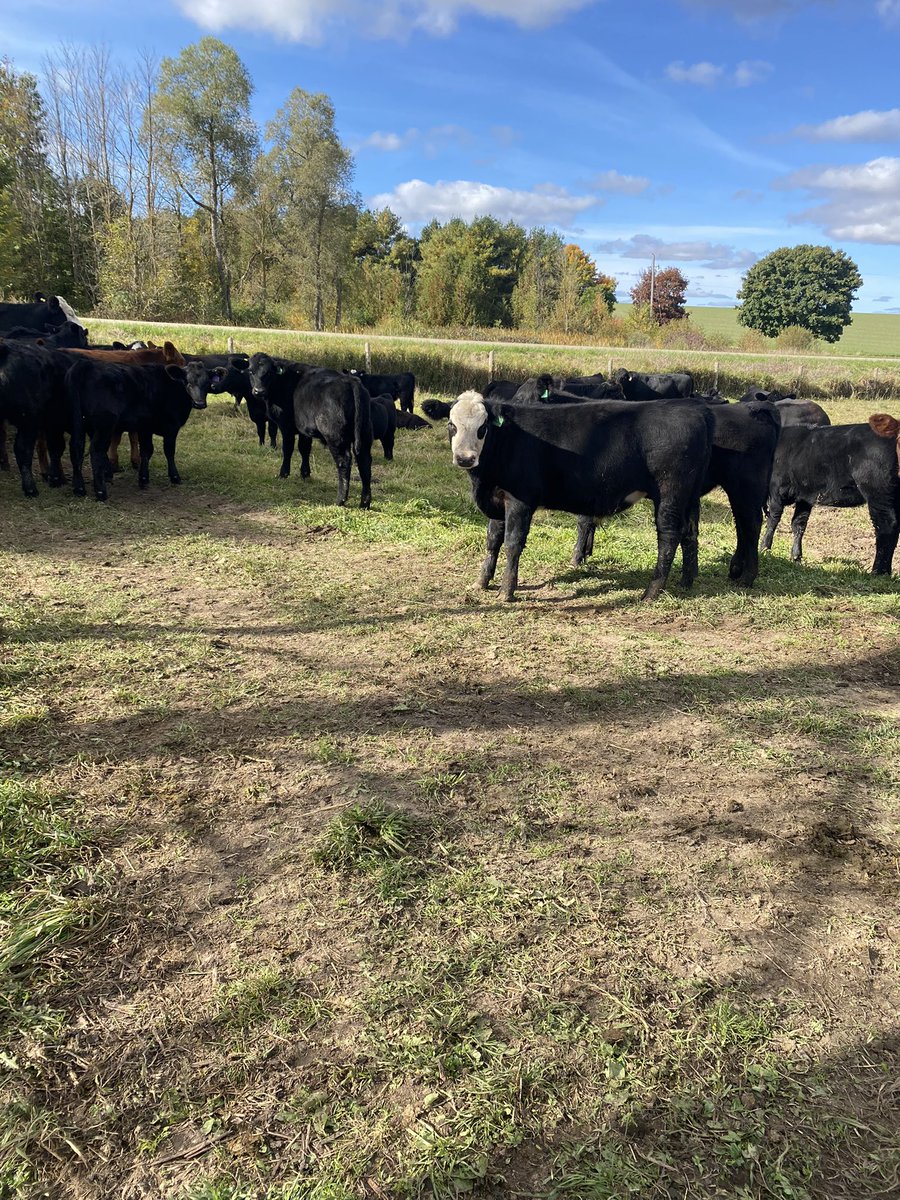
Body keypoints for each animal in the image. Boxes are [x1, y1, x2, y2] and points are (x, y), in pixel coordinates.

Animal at [248, 354, 373, 508]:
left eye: (269, 373)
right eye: (250, 371)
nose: (258, 391)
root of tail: (350, 381)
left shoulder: (286, 426)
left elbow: (288, 449)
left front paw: (284, 473)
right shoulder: (304, 430)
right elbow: (304, 449)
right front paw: (305, 473)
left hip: (335, 436)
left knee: (344, 461)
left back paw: (340, 500)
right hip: (364, 433)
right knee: (364, 462)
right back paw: (364, 503)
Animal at [446, 390, 713, 601]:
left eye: (483, 427)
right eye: (452, 425)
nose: (465, 458)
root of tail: (694, 409)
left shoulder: (520, 500)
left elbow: (513, 544)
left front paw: (506, 591)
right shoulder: (497, 499)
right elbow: (493, 540)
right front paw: (482, 581)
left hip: (670, 494)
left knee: (668, 535)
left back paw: (652, 591)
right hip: (689, 497)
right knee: (689, 534)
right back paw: (686, 582)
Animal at [762, 417, 900, 572]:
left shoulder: (776, 491)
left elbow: (773, 520)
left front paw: (764, 548)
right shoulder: (805, 497)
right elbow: (798, 524)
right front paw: (796, 557)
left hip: (878, 493)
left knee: (886, 526)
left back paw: (878, 571)